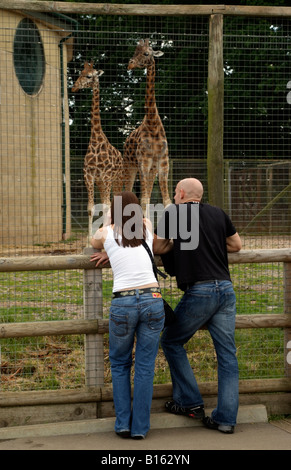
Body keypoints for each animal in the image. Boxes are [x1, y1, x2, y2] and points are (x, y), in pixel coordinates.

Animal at [73, 61, 124, 234]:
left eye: (89, 76)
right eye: (80, 73)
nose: (74, 87)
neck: (96, 140)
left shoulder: (107, 176)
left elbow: (107, 206)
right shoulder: (89, 175)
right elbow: (91, 208)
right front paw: (90, 238)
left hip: (116, 179)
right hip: (102, 183)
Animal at [124, 39, 173, 212]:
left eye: (146, 53)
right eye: (134, 51)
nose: (130, 64)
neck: (153, 124)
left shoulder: (163, 163)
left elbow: (166, 200)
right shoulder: (142, 163)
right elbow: (143, 200)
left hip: (151, 170)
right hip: (130, 166)